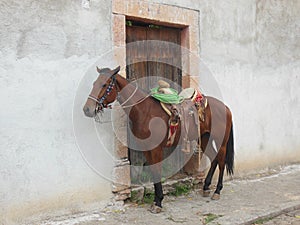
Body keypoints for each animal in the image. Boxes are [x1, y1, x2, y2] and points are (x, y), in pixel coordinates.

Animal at [82, 66, 234, 214]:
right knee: (214, 159)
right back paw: (206, 187)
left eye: (104, 84)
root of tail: (225, 107)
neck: (145, 110)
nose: (87, 109)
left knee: (221, 161)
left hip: (220, 141)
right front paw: (156, 201)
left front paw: (159, 202)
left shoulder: (156, 148)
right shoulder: (146, 148)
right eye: (94, 83)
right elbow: (154, 172)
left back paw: (217, 190)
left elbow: (156, 171)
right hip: (205, 138)